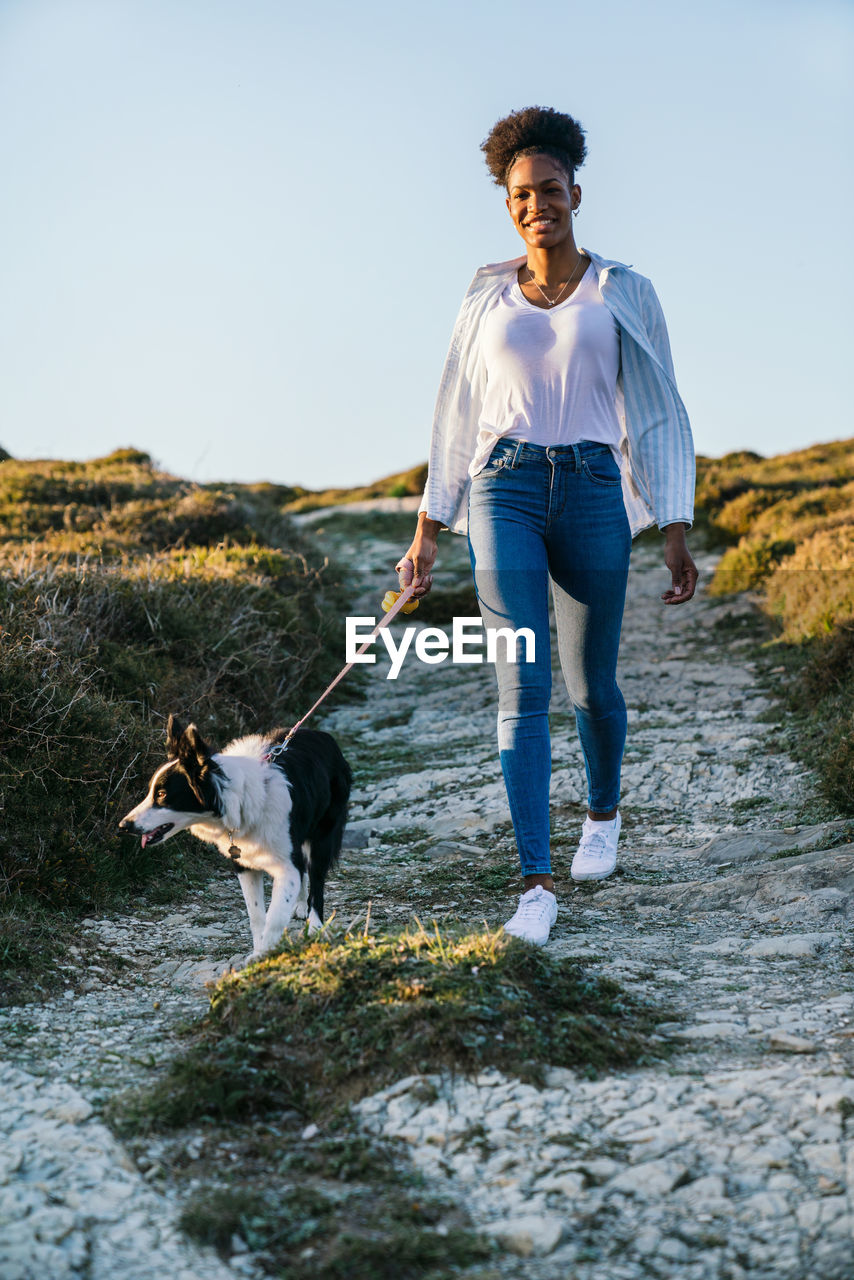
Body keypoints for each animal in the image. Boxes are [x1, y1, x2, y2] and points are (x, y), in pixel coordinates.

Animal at [118, 716, 353, 957]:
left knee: (316, 880)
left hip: (322, 837)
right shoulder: (244, 864)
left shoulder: (286, 864)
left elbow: (276, 916)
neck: (239, 800)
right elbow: (256, 916)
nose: (123, 826)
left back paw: (315, 926)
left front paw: (267, 954)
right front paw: (259, 953)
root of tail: (321, 734)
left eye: (162, 794)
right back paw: (300, 905)